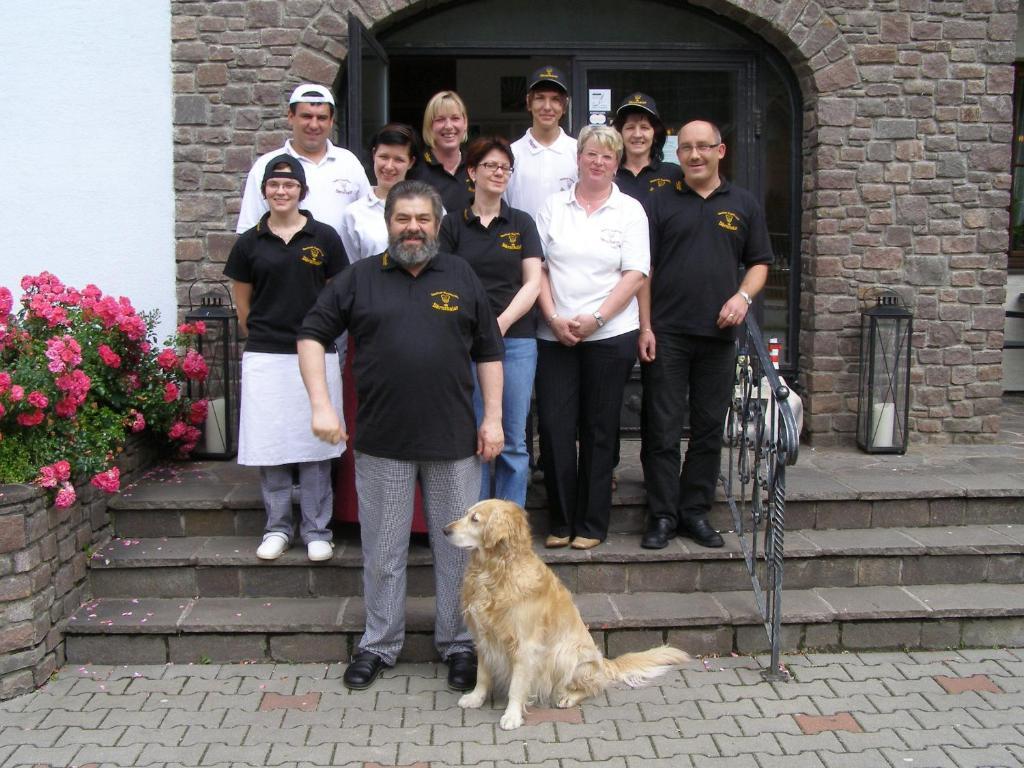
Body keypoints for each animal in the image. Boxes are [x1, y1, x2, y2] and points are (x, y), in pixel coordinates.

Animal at [440, 501, 688, 729]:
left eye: (475, 519)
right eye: (466, 514)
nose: (444, 530)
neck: (496, 570)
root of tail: (604, 662)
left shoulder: (525, 645)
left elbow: (517, 686)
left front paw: (512, 715)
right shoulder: (484, 637)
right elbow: (482, 674)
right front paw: (475, 698)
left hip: (565, 654)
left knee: (594, 686)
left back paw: (568, 697)